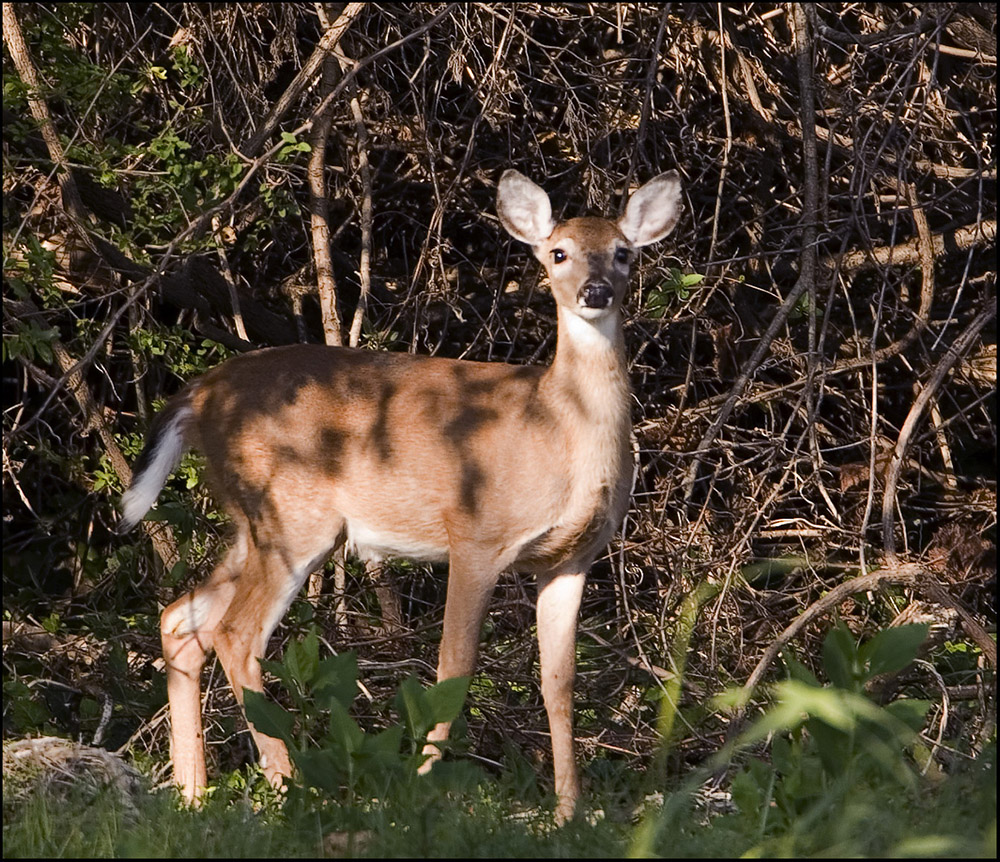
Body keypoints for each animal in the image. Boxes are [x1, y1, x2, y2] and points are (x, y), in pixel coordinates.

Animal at [121, 168, 682, 823]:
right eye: (558, 252)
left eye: (623, 253)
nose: (595, 291)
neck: (560, 430)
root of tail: (198, 395)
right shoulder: (476, 533)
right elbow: (454, 668)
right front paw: (421, 787)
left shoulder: (571, 558)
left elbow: (559, 682)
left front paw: (569, 810)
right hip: (290, 514)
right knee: (234, 632)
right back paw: (288, 786)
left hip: (252, 522)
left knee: (181, 616)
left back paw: (192, 792)